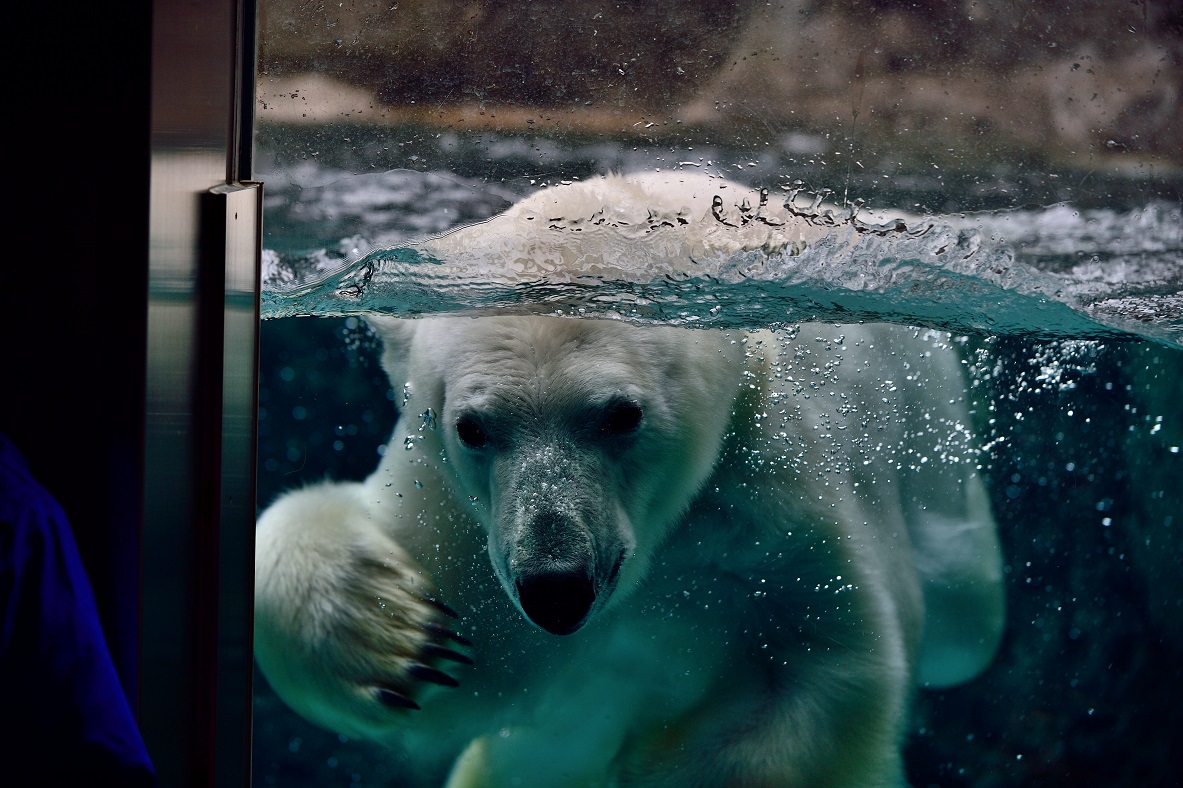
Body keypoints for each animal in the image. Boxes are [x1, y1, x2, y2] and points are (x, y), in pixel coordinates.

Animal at [254, 173, 1003, 785]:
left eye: (620, 415)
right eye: (471, 427)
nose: (555, 586)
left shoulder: (769, 501)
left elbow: (823, 668)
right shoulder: (467, 531)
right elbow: (464, 651)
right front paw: (391, 634)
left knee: (965, 602)